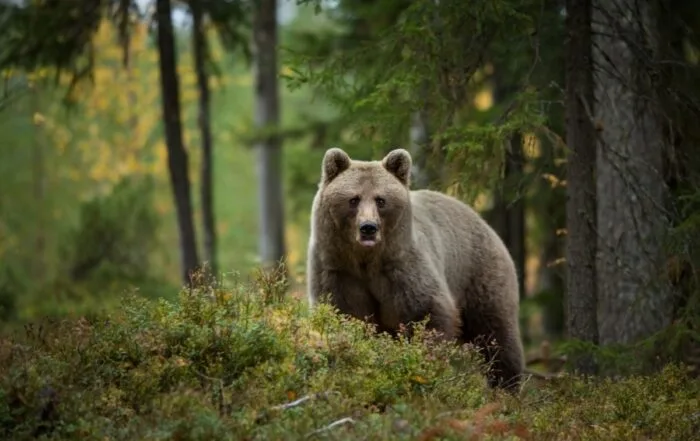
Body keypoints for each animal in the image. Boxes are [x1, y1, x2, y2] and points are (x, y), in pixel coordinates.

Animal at [306, 147, 525, 393]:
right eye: (353, 199)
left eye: (381, 200)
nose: (368, 228)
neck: (366, 260)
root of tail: (483, 222)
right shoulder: (338, 271)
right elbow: (347, 316)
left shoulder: (402, 268)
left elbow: (426, 313)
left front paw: (425, 366)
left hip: (479, 274)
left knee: (496, 333)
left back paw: (506, 387)